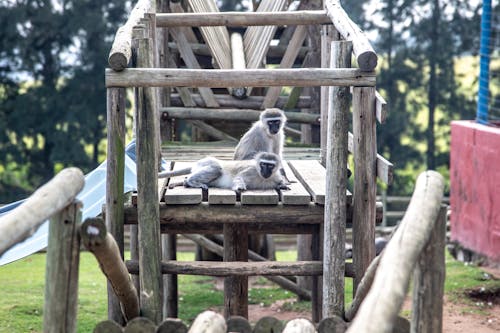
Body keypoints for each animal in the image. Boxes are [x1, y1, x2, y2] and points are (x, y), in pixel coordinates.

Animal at [156, 151, 290, 192]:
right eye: (263, 164)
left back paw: (185, 182)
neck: (262, 176)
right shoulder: (251, 170)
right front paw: (239, 187)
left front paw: (283, 185)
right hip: (205, 163)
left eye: (270, 166)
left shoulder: (275, 175)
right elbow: (239, 177)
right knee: (217, 168)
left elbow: (280, 181)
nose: (265, 171)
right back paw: (191, 182)